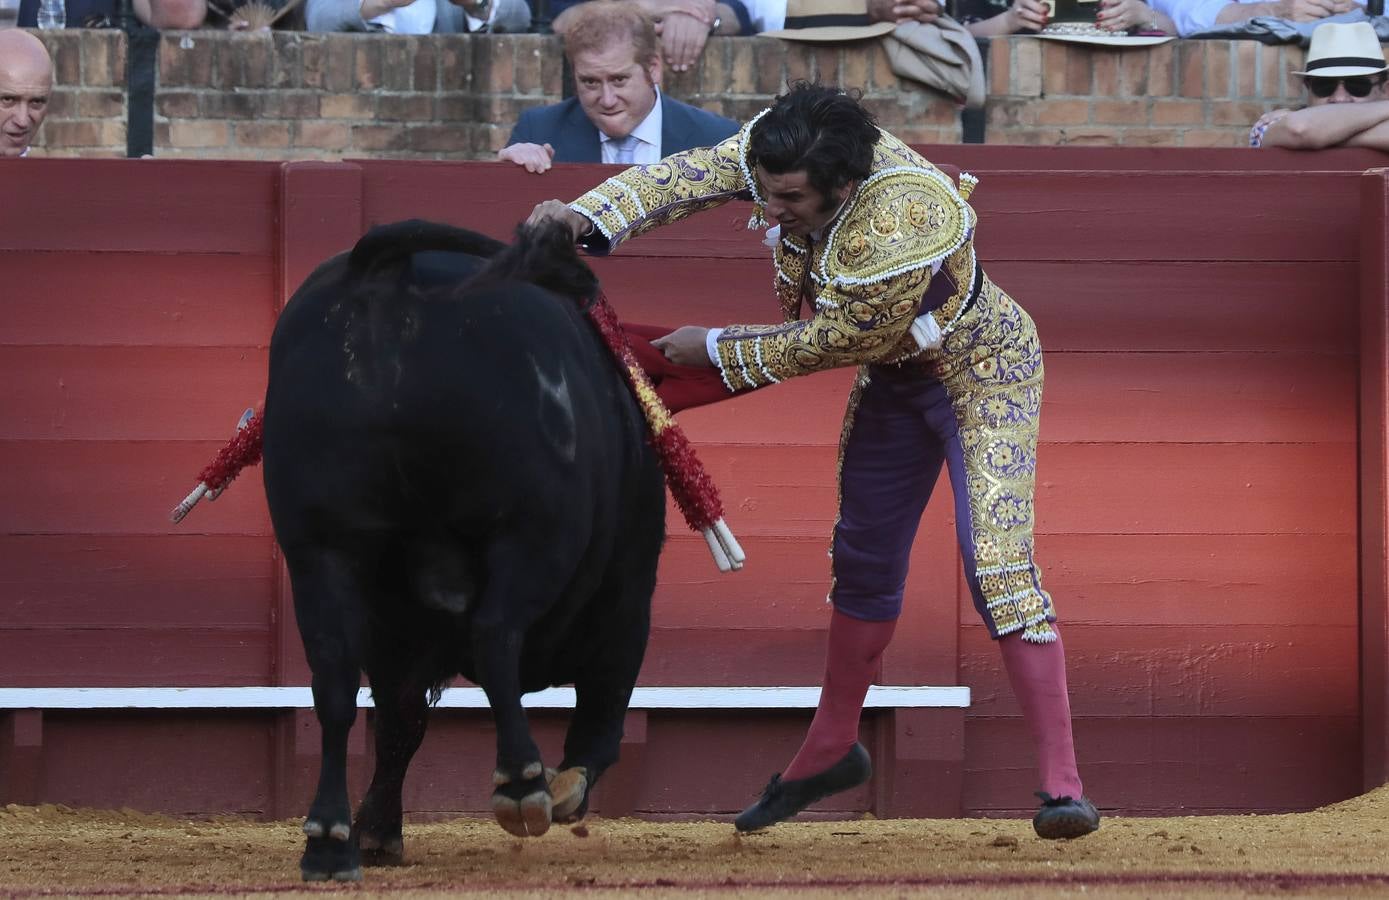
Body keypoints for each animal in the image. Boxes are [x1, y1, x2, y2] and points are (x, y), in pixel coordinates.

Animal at [266, 220, 672, 883]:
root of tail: (383, 272)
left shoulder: (392, 626)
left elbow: (399, 718)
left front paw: (375, 832)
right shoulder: (628, 596)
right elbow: (604, 712)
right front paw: (561, 786)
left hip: (318, 550)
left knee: (332, 683)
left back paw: (328, 841)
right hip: (530, 533)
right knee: (496, 632)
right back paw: (523, 782)